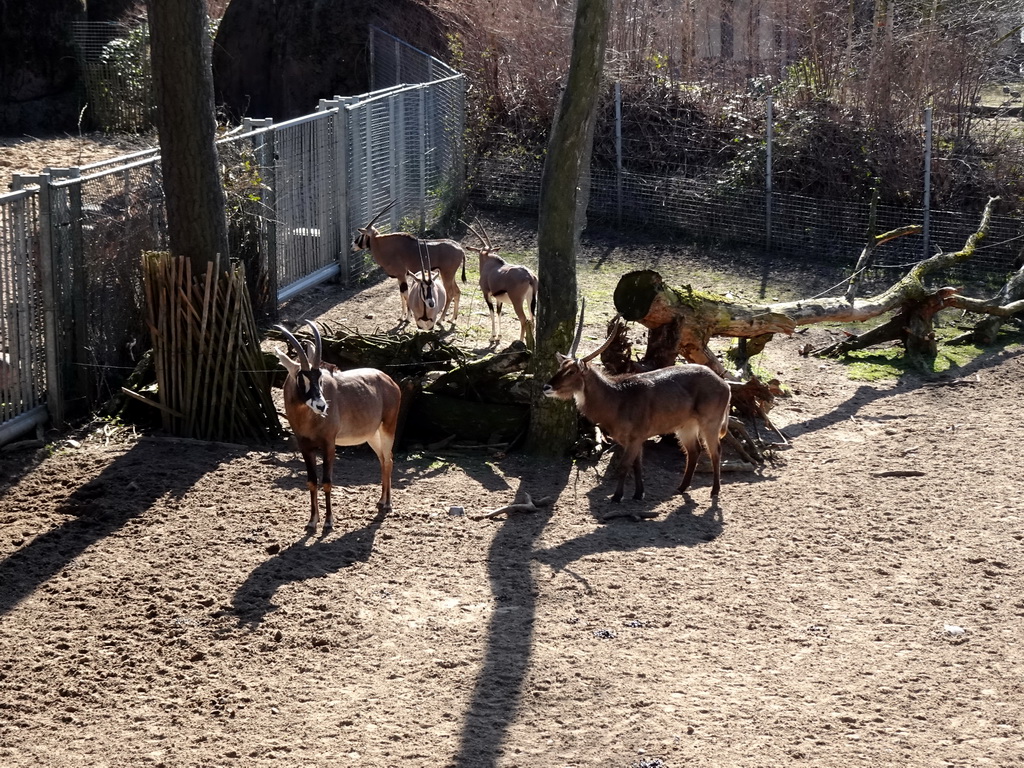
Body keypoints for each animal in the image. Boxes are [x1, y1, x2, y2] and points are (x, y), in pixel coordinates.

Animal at [274, 319, 401, 536]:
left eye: (320, 378)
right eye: (302, 378)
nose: (321, 406)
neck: (308, 419)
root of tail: (388, 380)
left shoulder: (329, 445)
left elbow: (326, 481)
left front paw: (328, 522)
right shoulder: (305, 447)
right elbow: (311, 481)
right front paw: (312, 522)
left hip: (387, 429)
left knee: (389, 459)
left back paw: (387, 504)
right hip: (372, 435)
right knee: (383, 459)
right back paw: (381, 500)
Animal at [540, 303, 733, 501]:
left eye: (572, 371)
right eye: (560, 367)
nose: (546, 387)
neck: (617, 397)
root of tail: (725, 383)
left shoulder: (634, 439)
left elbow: (624, 466)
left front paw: (617, 496)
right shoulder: (634, 440)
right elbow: (637, 465)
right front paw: (639, 493)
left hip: (710, 424)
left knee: (715, 452)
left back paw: (714, 491)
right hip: (686, 426)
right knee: (694, 451)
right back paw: (681, 488)